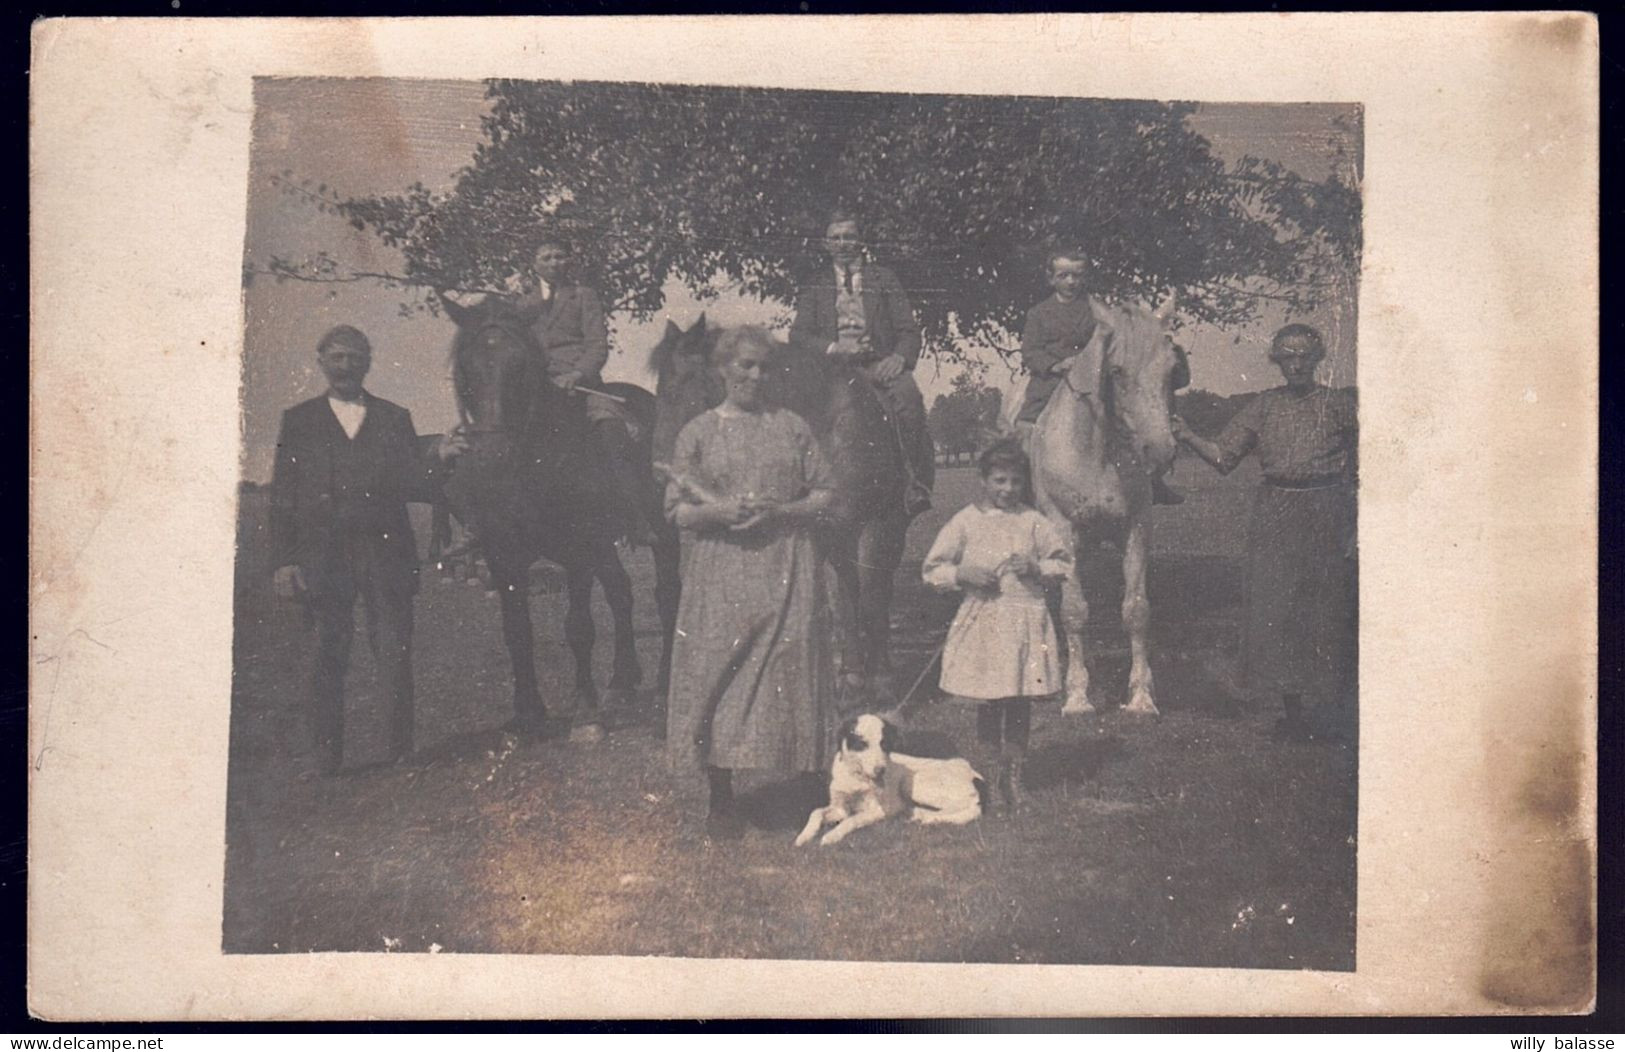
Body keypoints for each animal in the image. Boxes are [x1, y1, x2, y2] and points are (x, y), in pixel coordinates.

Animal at [438, 294, 679, 741]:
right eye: (464, 368)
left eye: (521, 367)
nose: (492, 455)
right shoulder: (504, 558)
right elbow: (516, 630)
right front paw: (526, 713)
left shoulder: (579, 552)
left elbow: (579, 627)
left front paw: (585, 715)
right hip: (606, 545)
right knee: (621, 592)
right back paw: (622, 680)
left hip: (659, 536)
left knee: (667, 594)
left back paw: (662, 683)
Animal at [793, 712, 981, 852]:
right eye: (862, 744)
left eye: (884, 744)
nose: (881, 770)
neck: (857, 777)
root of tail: (975, 775)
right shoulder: (840, 808)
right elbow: (816, 812)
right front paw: (804, 835)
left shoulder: (878, 810)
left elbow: (852, 819)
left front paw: (832, 835)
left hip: (914, 783)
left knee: (965, 807)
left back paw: (923, 815)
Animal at [1027, 300, 1183, 718]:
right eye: (1116, 371)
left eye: (1171, 369)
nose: (1160, 452)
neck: (1096, 450)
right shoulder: (1063, 532)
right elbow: (1073, 612)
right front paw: (1077, 696)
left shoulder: (1137, 527)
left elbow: (1136, 611)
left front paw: (1141, 696)